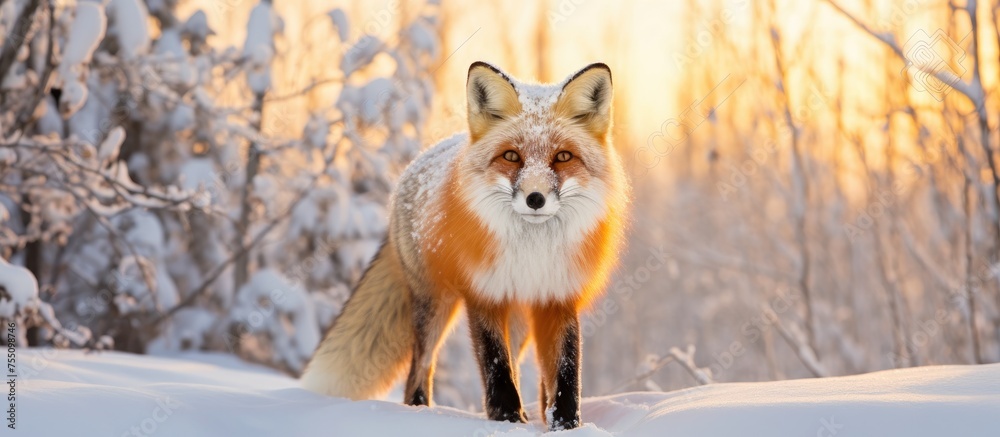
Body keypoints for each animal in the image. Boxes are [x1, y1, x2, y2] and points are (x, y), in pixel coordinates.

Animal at [300, 61, 629, 431]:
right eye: (511, 156)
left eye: (563, 156)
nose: (535, 199)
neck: (532, 252)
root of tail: (414, 166)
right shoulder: (483, 293)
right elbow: (497, 367)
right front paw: (506, 419)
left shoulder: (558, 296)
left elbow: (565, 372)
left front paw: (564, 425)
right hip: (435, 305)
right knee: (420, 368)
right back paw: (419, 412)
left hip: (517, 317)